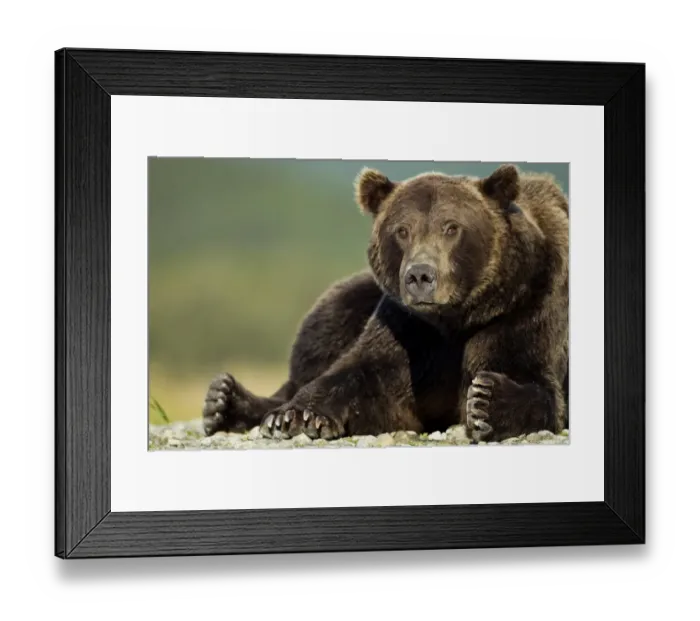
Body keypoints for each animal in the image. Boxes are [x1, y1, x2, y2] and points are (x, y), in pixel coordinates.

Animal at [202, 163, 569, 443]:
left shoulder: (525, 308)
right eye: (402, 230)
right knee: (323, 330)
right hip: (353, 296)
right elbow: (364, 375)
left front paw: (486, 400)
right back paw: (223, 401)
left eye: (452, 227)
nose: (420, 275)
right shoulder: (407, 327)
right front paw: (296, 416)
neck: (455, 320)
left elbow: (534, 382)